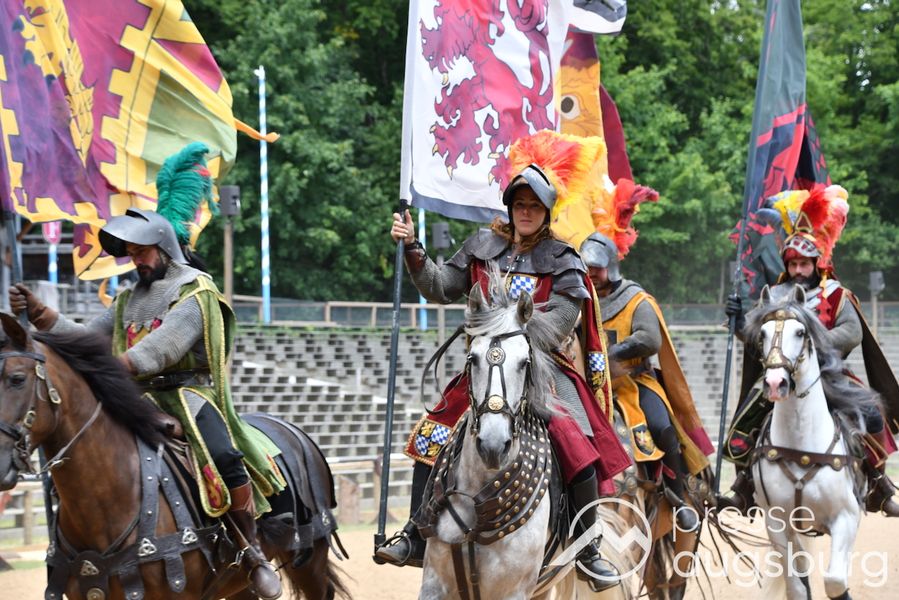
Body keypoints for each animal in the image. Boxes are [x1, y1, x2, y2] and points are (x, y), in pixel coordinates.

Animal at [742, 284, 879, 600]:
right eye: (762, 334)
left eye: (800, 332)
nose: (775, 383)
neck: (802, 448)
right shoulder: (777, 523)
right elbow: (796, 586)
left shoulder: (846, 518)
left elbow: (835, 582)